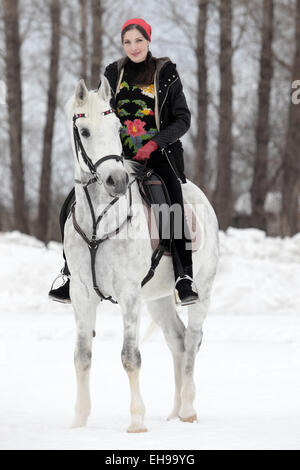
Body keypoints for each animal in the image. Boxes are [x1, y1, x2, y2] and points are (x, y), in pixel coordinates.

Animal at [63, 77, 218, 434]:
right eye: (85, 131)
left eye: (117, 126)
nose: (116, 181)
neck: (100, 221)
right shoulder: (81, 294)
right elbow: (81, 356)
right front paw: (78, 420)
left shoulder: (129, 294)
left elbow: (130, 357)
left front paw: (136, 421)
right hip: (158, 299)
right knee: (177, 340)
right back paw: (174, 413)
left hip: (201, 291)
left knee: (192, 341)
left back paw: (188, 410)